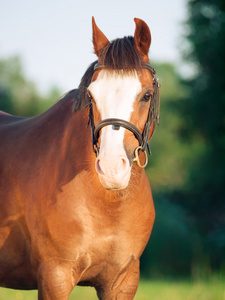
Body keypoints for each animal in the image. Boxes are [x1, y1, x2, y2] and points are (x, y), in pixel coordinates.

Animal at [0, 17, 160, 298]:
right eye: (91, 96)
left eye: (147, 95)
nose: (111, 169)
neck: (107, 203)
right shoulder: (55, 277)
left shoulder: (122, 282)